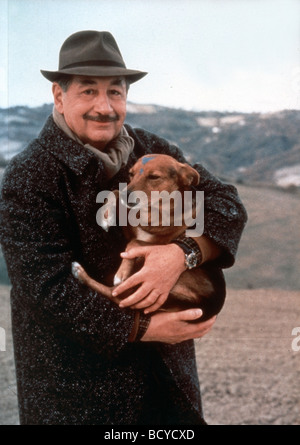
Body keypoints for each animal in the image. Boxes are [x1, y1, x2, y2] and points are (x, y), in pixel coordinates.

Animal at [72, 153, 225, 320]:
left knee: (116, 295)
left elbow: (134, 243)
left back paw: (81, 273)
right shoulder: (130, 228)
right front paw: (107, 215)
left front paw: (122, 273)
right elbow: (114, 192)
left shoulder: (160, 246)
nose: (126, 196)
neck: (152, 212)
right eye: (131, 174)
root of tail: (206, 307)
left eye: (154, 177)